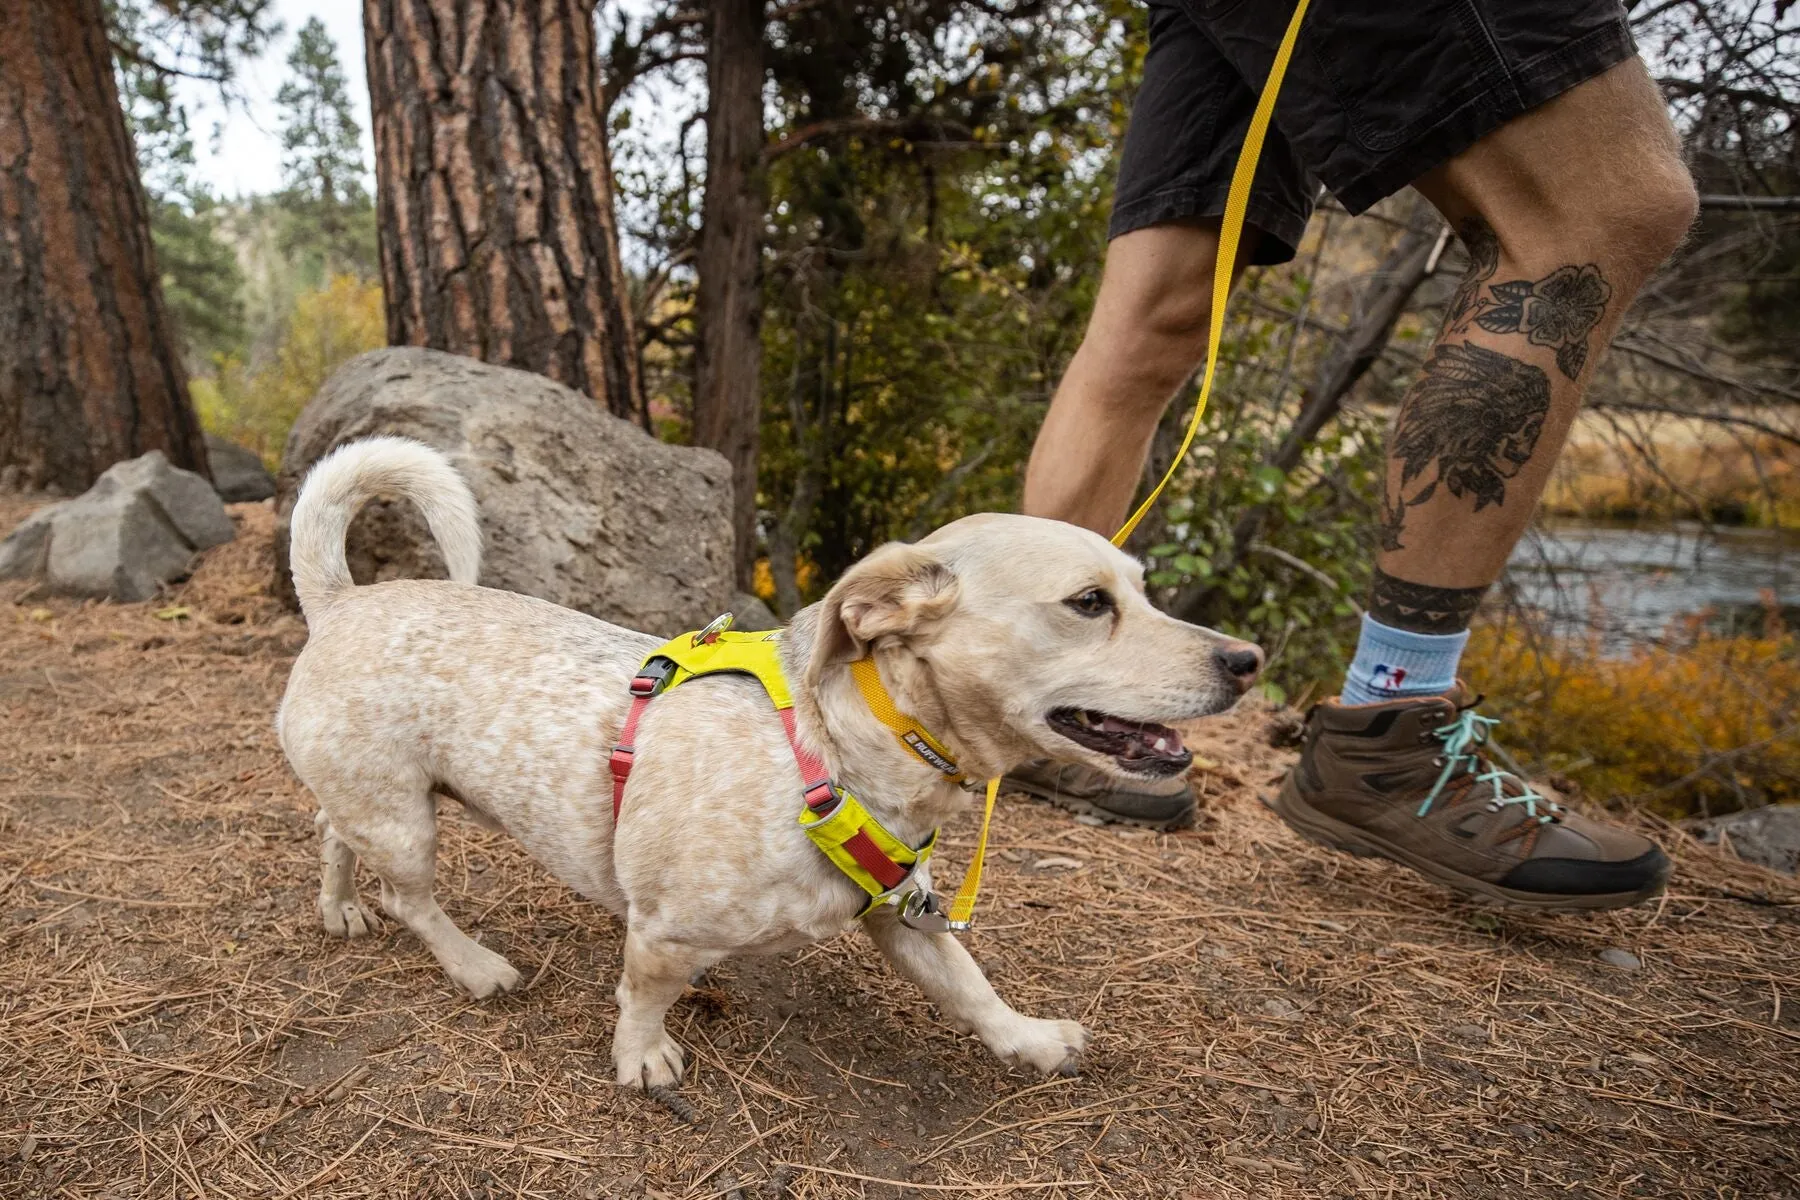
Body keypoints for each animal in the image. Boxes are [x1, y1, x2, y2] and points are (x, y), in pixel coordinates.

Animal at [280, 438, 1267, 1086]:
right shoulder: (666, 934)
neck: (839, 749)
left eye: (1141, 590)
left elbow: (971, 987)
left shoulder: (904, 915)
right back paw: (474, 964)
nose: (1248, 660)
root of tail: (341, 602)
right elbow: (642, 995)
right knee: (409, 897)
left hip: (375, 800)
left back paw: (338, 909)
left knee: (330, 832)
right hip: (405, 823)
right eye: (1090, 603)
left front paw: (1028, 1040)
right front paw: (642, 1058)